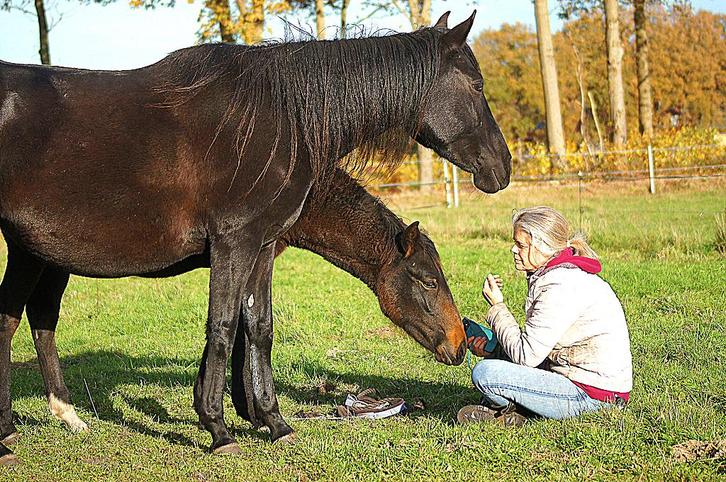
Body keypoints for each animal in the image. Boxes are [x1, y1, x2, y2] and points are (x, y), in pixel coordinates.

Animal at [0, 11, 511, 457]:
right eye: (428, 280)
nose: (459, 345)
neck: (280, 120)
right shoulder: (234, 245)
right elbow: (225, 329)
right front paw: (219, 427)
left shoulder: (262, 248)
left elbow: (257, 329)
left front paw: (269, 419)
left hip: (37, 253)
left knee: (32, 320)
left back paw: (50, 419)